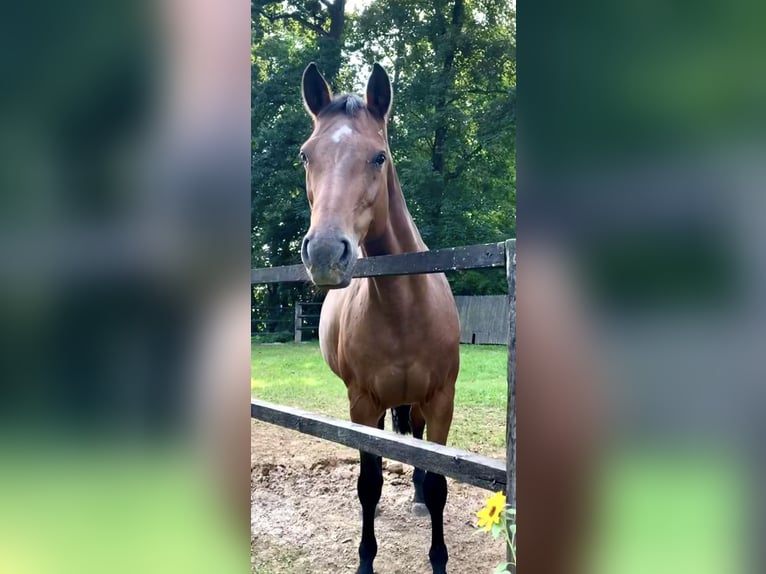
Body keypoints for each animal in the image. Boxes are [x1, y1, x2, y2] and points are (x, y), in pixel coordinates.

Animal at [298, 62, 461, 574]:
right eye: (306, 156)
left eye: (379, 157)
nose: (325, 253)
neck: (403, 308)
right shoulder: (362, 403)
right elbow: (367, 485)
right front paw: (366, 560)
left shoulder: (442, 400)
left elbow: (441, 482)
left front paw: (438, 558)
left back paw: (417, 497)